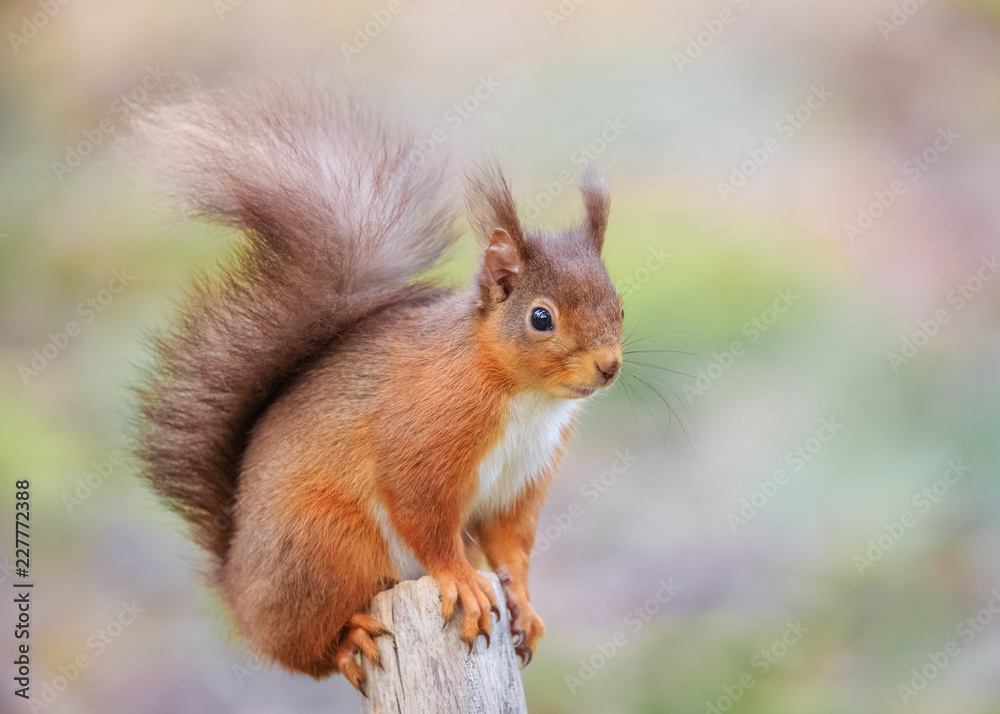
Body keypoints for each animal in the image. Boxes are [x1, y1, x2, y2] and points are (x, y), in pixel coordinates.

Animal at [129, 80, 620, 692]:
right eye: (540, 318)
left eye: (617, 301)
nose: (609, 366)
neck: (525, 399)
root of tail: (237, 589)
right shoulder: (422, 437)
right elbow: (423, 516)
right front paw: (463, 580)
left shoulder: (520, 482)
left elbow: (511, 546)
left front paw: (523, 607)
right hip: (326, 548)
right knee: (311, 649)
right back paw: (350, 637)